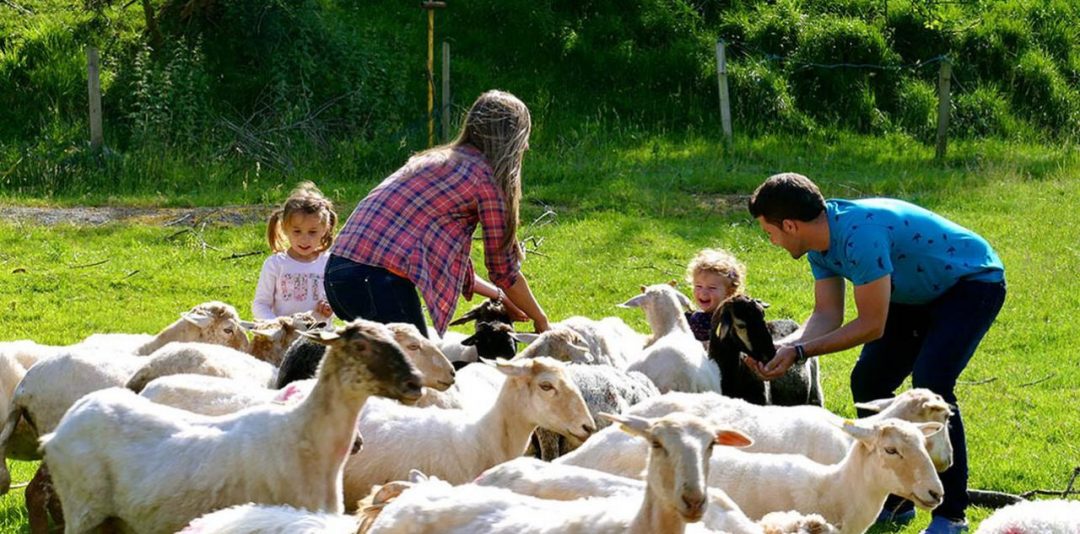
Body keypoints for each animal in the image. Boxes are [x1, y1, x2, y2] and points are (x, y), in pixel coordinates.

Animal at [38, 319, 419, 534]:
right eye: (361, 345)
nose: (414, 382)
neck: (306, 436)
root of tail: (62, 428)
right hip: (82, 510)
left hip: (113, 521)